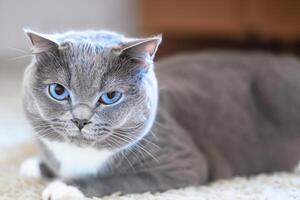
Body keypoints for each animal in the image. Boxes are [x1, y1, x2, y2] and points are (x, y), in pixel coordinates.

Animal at [19, 28, 300, 199]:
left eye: (110, 97)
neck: (79, 156)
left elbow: (117, 179)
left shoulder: (183, 163)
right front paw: (34, 165)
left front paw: (64, 187)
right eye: (58, 90)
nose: (80, 119)